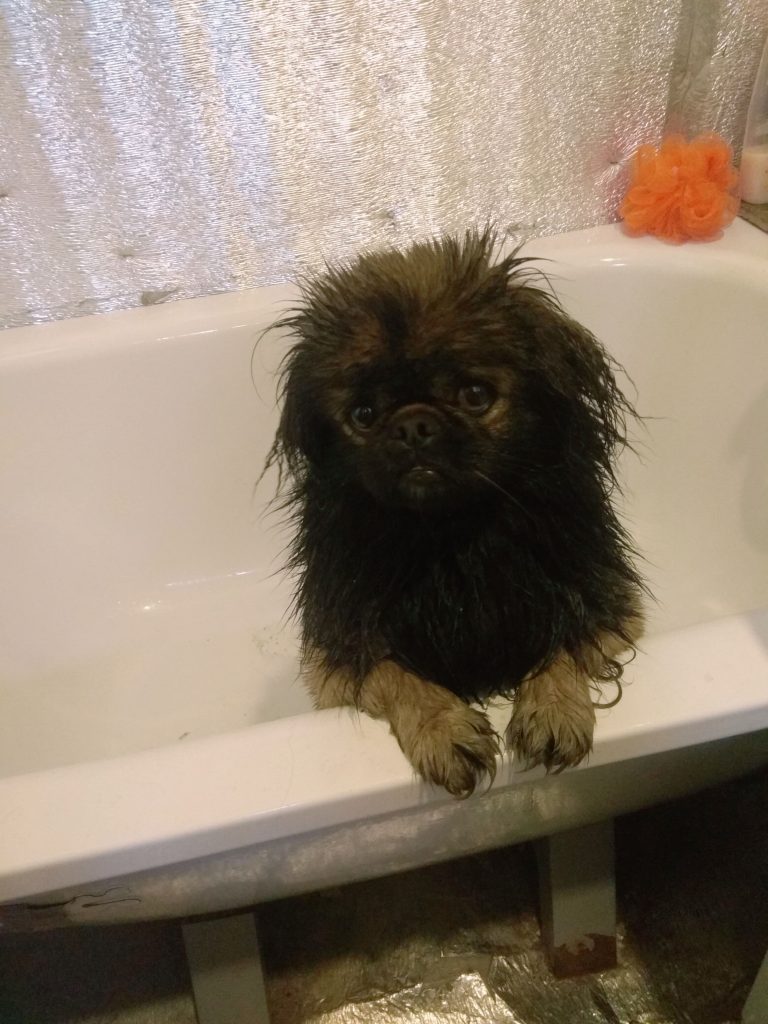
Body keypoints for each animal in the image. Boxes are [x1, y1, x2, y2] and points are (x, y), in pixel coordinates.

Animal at [266, 229, 645, 797]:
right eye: (363, 415)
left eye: (475, 395)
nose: (413, 426)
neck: (453, 537)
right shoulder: (337, 661)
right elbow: (397, 674)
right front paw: (444, 729)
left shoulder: (607, 613)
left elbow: (560, 639)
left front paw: (553, 709)